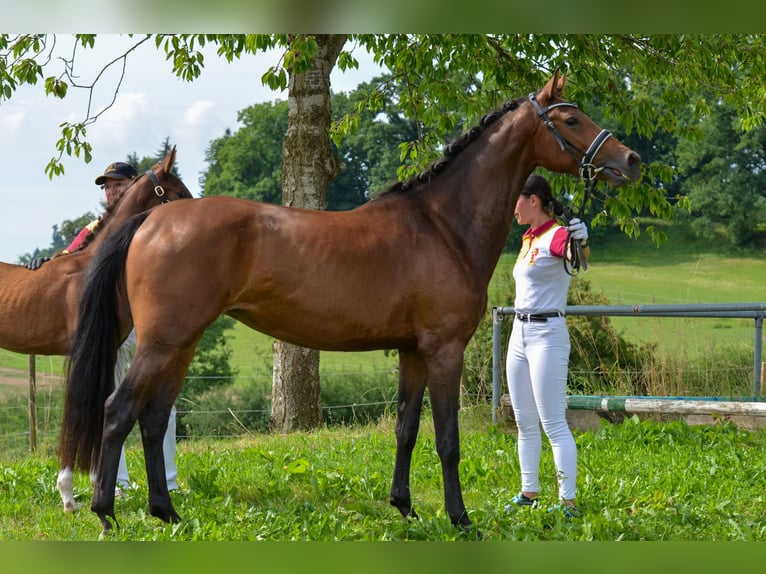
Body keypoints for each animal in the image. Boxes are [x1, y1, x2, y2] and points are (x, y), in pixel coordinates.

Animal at [0, 147, 193, 512]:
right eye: (178, 192)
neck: (91, 271)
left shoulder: (108, 352)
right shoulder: (87, 353)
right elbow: (81, 410)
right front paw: (68, 494)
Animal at [60, 72, 642, 537]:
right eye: (570, 118)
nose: (631, 160)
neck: (441, 224)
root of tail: (152, 219)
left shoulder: (412, 352)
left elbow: (406, 430)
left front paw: (405, 507)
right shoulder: (444, 349)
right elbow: (447, 438)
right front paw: (459, 519)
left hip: (180, 343)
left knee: (154, 417)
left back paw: (167, 512)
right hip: (164, 343)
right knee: (119, 411)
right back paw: (106, 514)